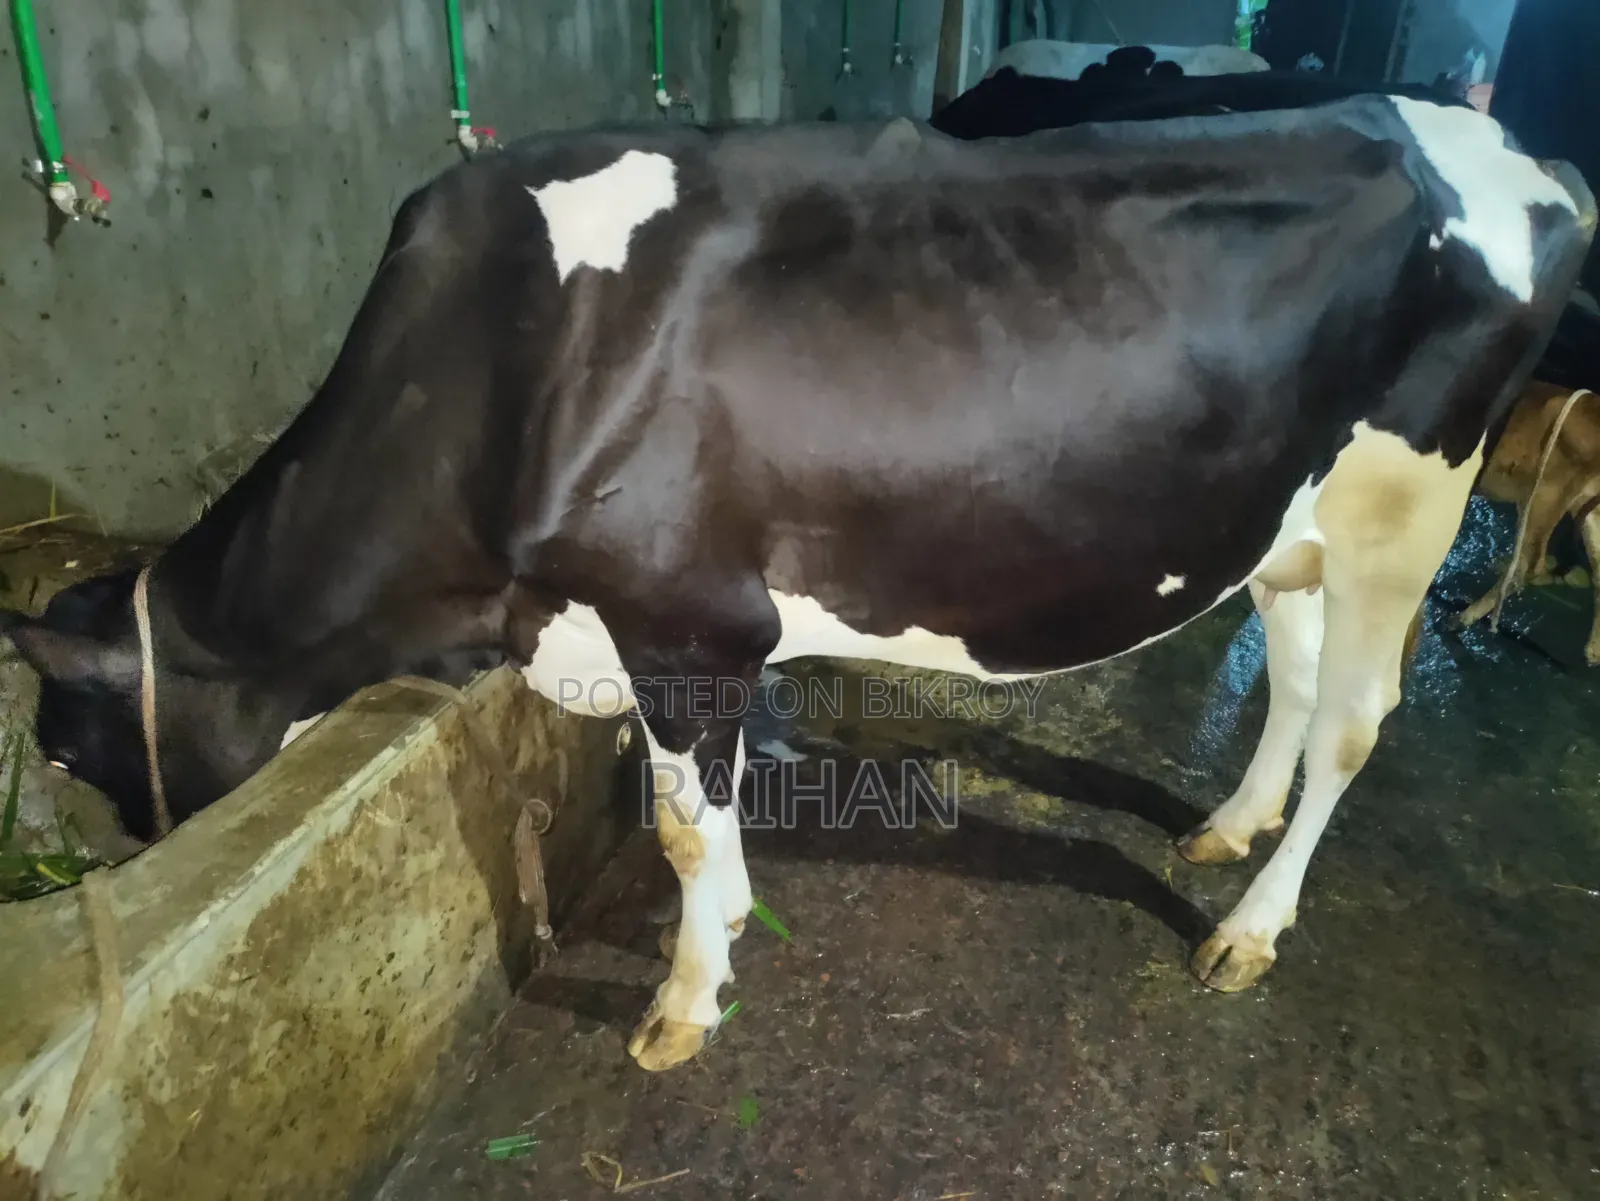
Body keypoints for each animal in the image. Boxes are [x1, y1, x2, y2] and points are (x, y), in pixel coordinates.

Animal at [1, 100, 1592, 1074]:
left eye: (60, 748)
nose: (123, 846)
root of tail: (1508, 147)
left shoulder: (690, 622)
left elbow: (681, 828)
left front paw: (681, 1006)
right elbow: (692, 817)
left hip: (1406, 508)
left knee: (1356, 724)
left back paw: (1250, 928)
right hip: (1289, 518)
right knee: (1297, 668)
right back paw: (1224, 828)